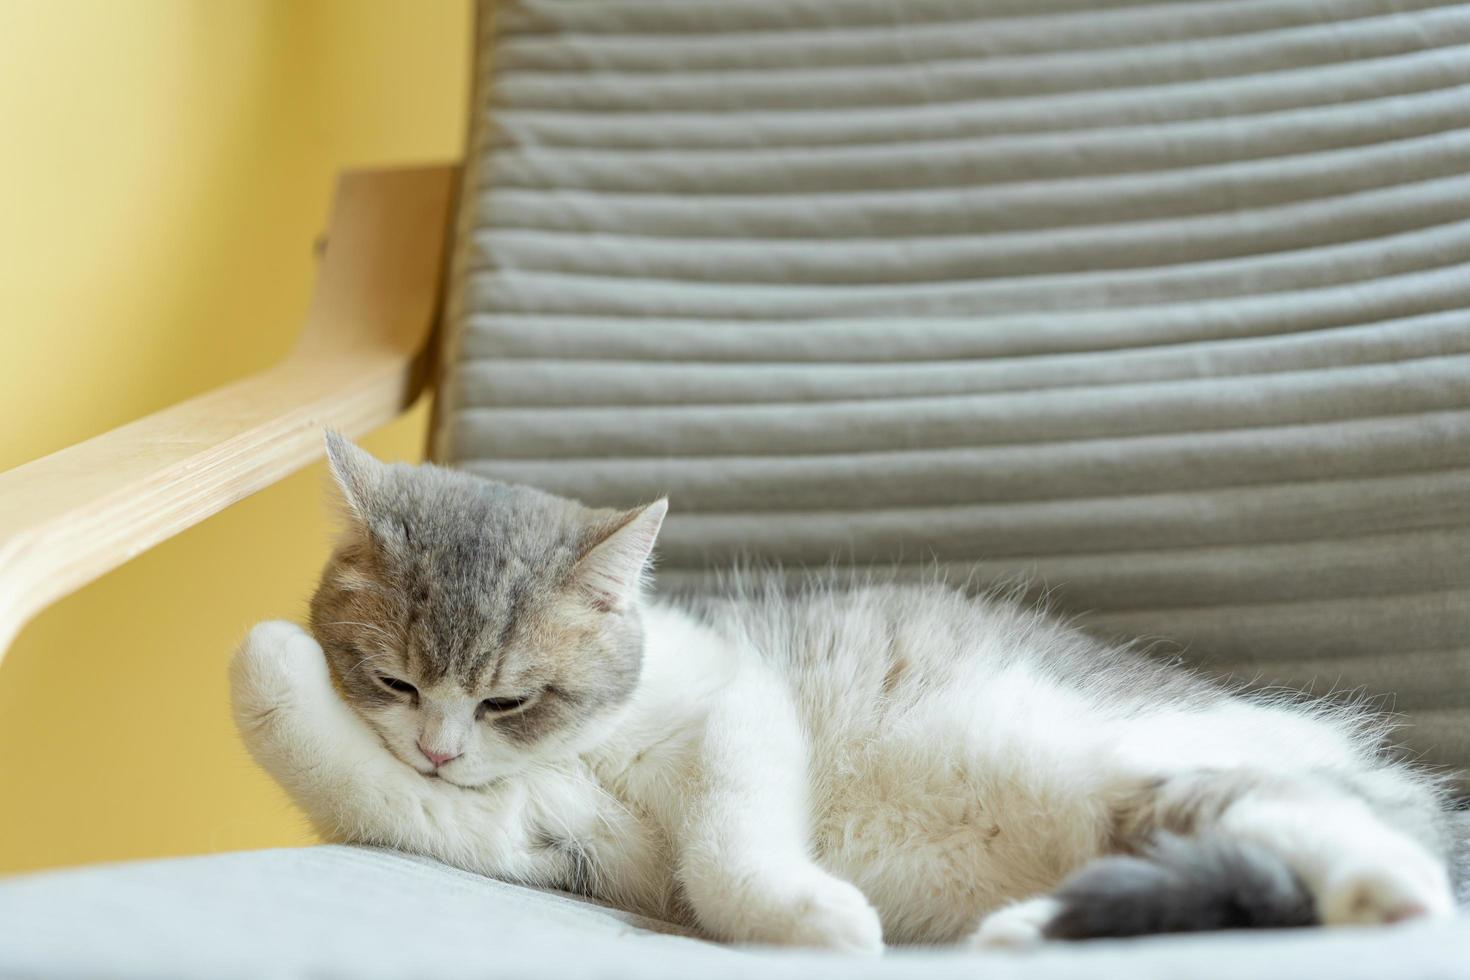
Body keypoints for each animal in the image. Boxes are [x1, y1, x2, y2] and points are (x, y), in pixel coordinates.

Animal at [229, 431, 1458, 952]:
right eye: (396, 677)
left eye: (508, 698)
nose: (441, 745)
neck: (595, 747)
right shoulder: (547, 832)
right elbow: (386, 790)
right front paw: (272, 665)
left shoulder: (739, 706)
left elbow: (729, 840)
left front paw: (810, 913)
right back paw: (1031, 927)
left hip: (1149, 760)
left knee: (1350, 838)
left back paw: (1383, 893)